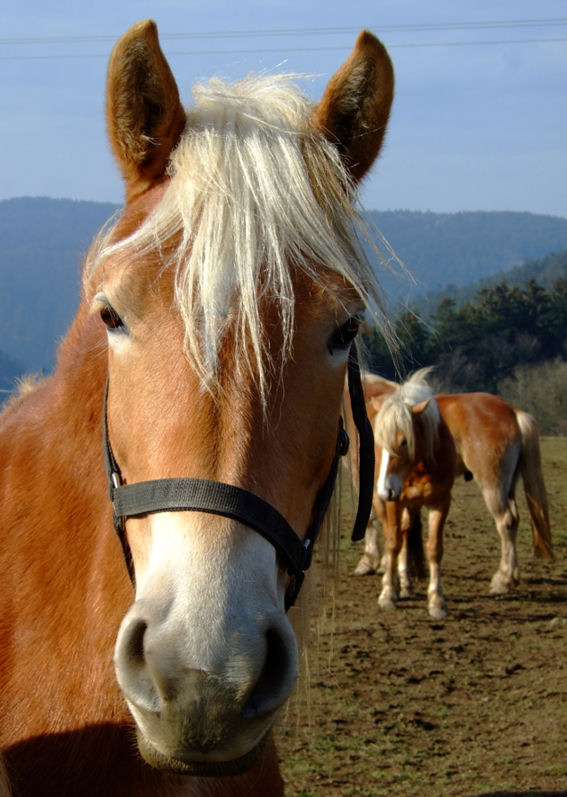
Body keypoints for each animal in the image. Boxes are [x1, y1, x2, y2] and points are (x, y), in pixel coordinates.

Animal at [358, 374, 552, 604]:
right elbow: (403, 530)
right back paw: (511, 576)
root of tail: (512, 411)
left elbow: (378, 523)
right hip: (509, 485)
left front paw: (379, 568)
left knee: (505, 521)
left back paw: (502, 580)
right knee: (514, 521)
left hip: (493, 485)